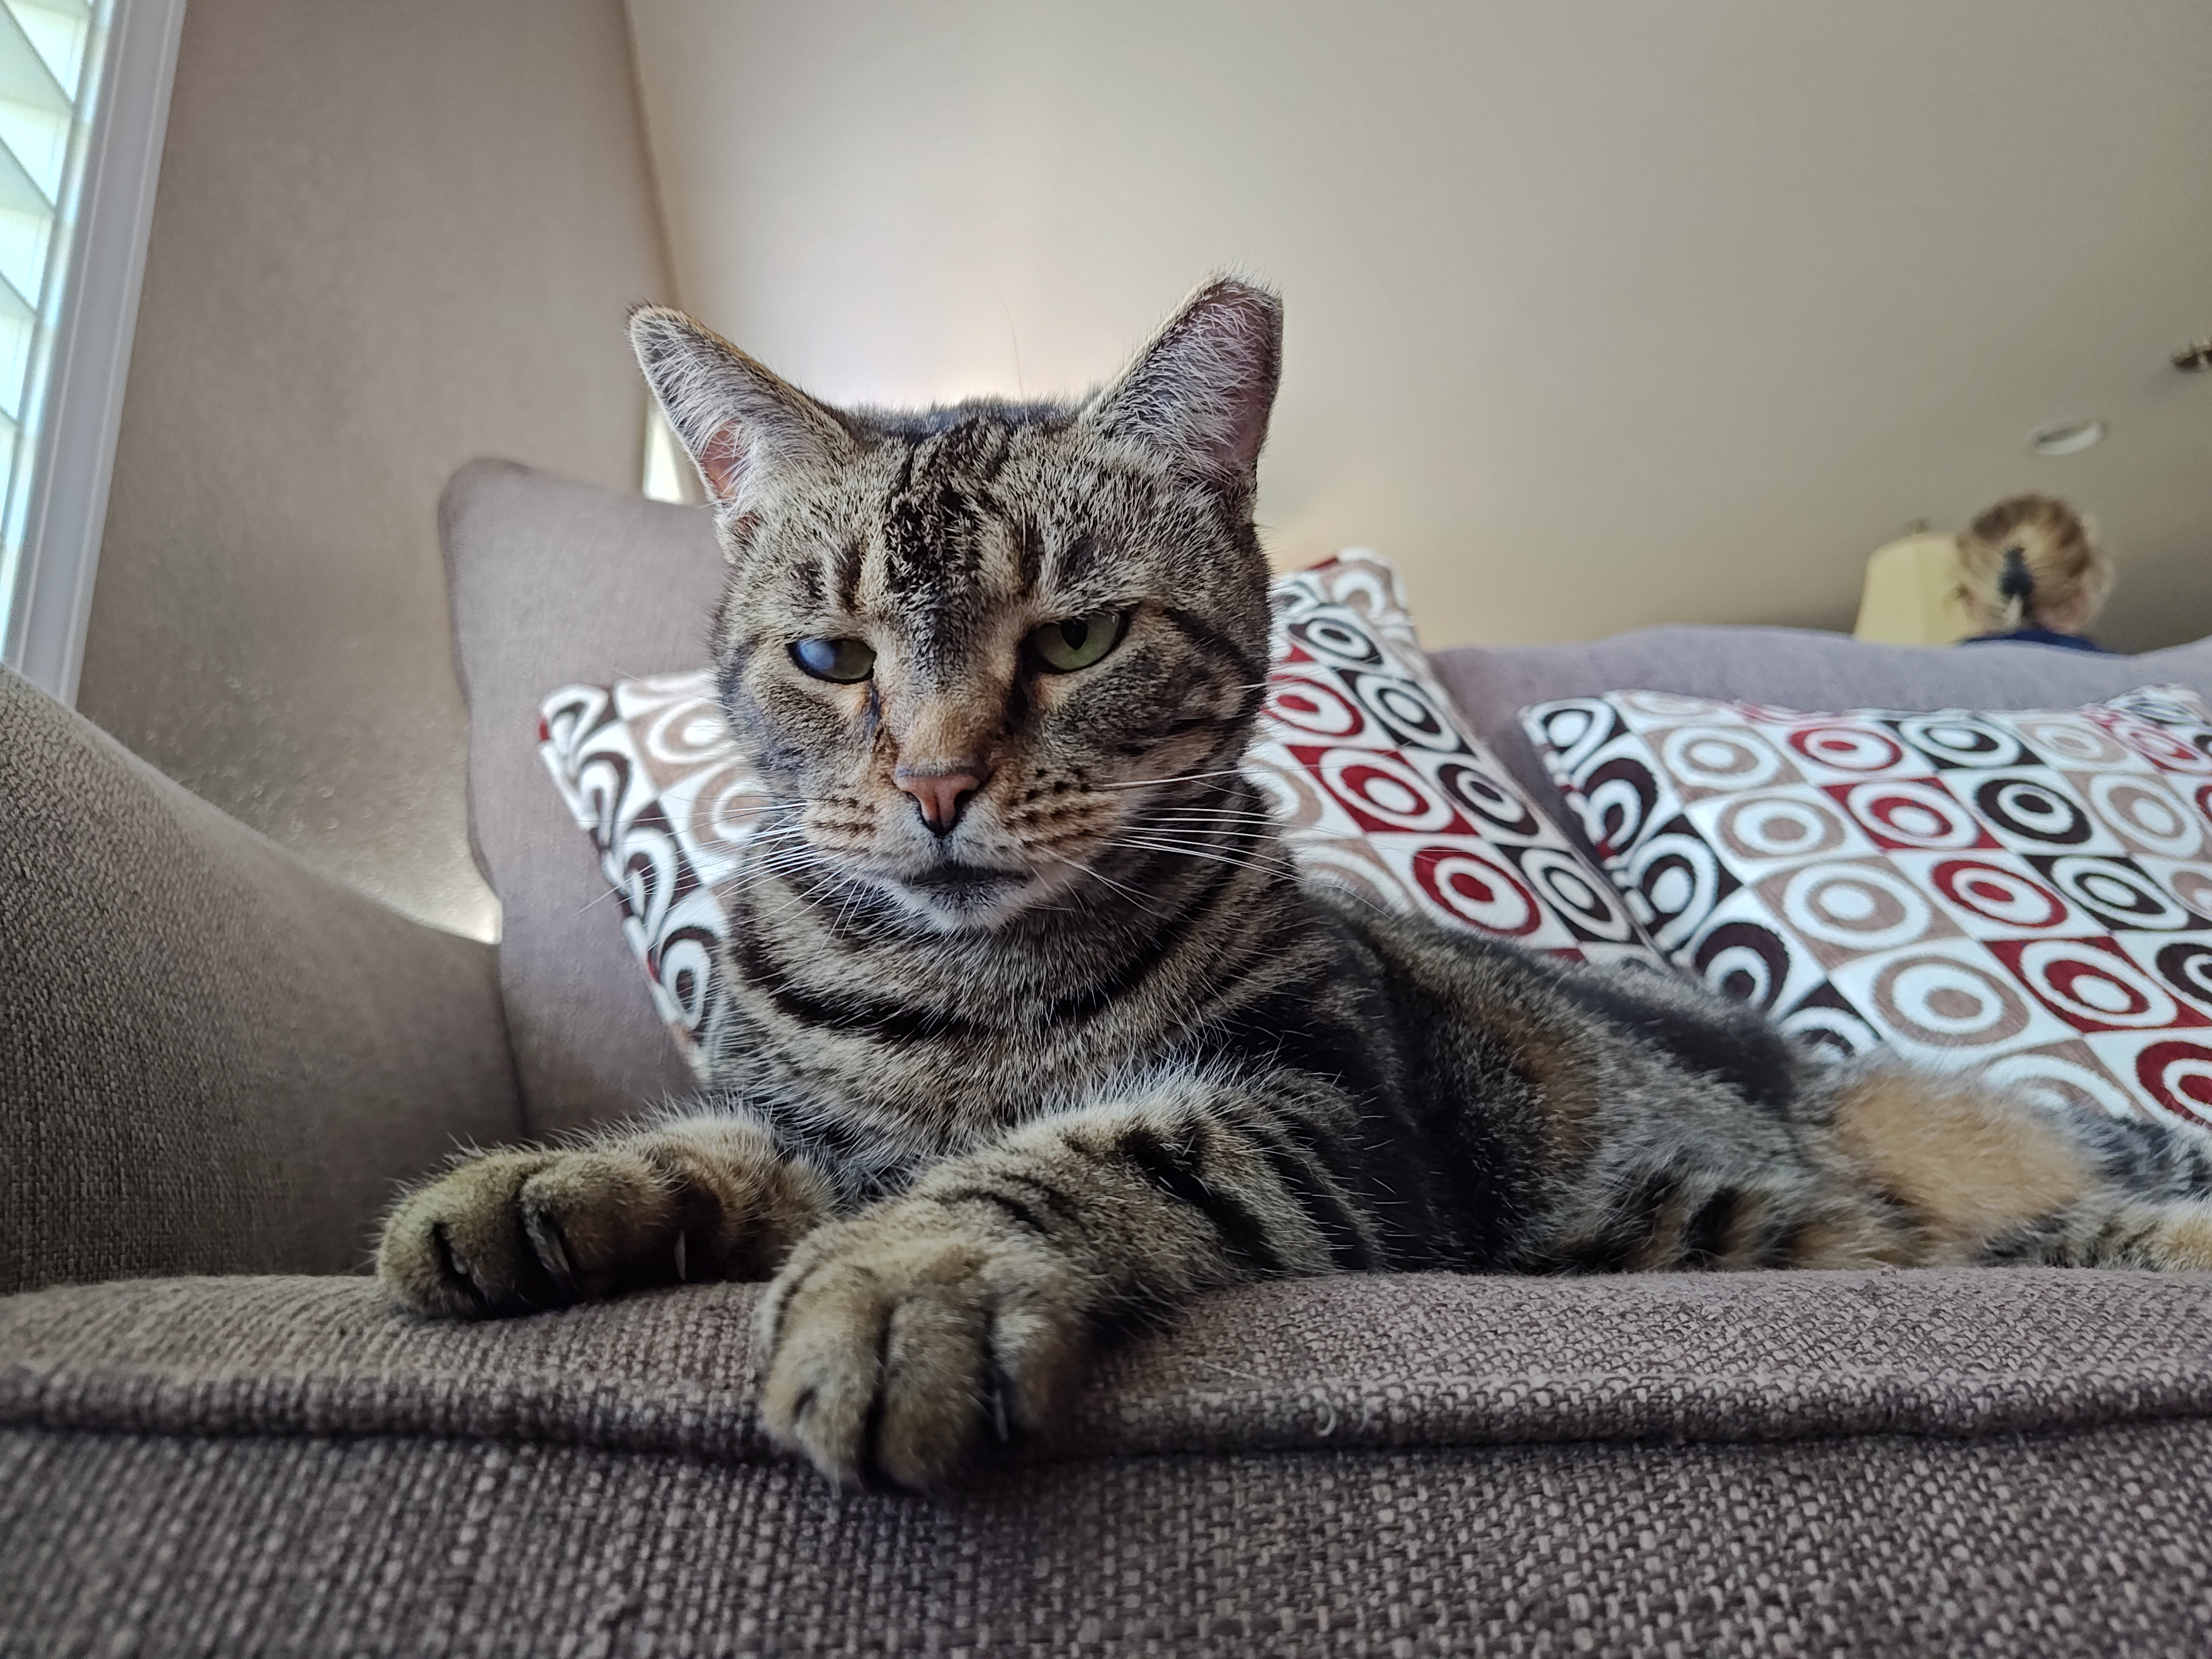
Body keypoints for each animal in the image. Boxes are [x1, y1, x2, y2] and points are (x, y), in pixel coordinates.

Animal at [380, 276, 2212, 1495]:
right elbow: (731, 1145)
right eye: (830, 659)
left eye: (1078, 640)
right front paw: (553, 1185)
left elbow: (1078, 1156)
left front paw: (907, 1277)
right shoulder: (814, 1123)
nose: (936, 786)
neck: (967, 1004)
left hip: (1944, 1139)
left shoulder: (1326, 1118)